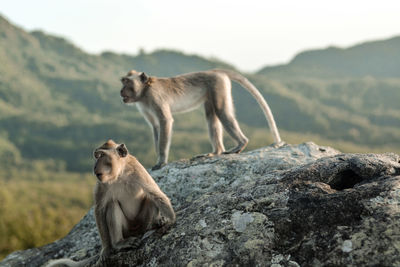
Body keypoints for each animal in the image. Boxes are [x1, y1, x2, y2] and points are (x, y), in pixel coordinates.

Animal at [46, 141, 174, 266]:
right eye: (97, 156)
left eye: (102, 155)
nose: (95, 166)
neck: (120, 174)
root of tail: (135, 231)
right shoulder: (102, 184)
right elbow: (100, 209)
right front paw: (106, 249)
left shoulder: (138, 170)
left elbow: (155, 193)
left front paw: (170, 220)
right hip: (126, 229)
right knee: (112, 205)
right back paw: (119, 243)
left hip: (142, 222)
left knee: (149, 197)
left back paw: (153, 224)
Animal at [120, 68, 282, 170]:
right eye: (123, 81)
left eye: (128, 83)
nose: (121, 91)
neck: (145, 91)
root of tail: (215, 71)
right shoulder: (143, 105)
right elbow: (155, 127)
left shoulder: (155, 98)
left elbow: (165, 122)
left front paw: (161, 161)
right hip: (211, 91)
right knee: (211, 115)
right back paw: (216, 152)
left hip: (218, 85)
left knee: (221, 111)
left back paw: (240, 144)